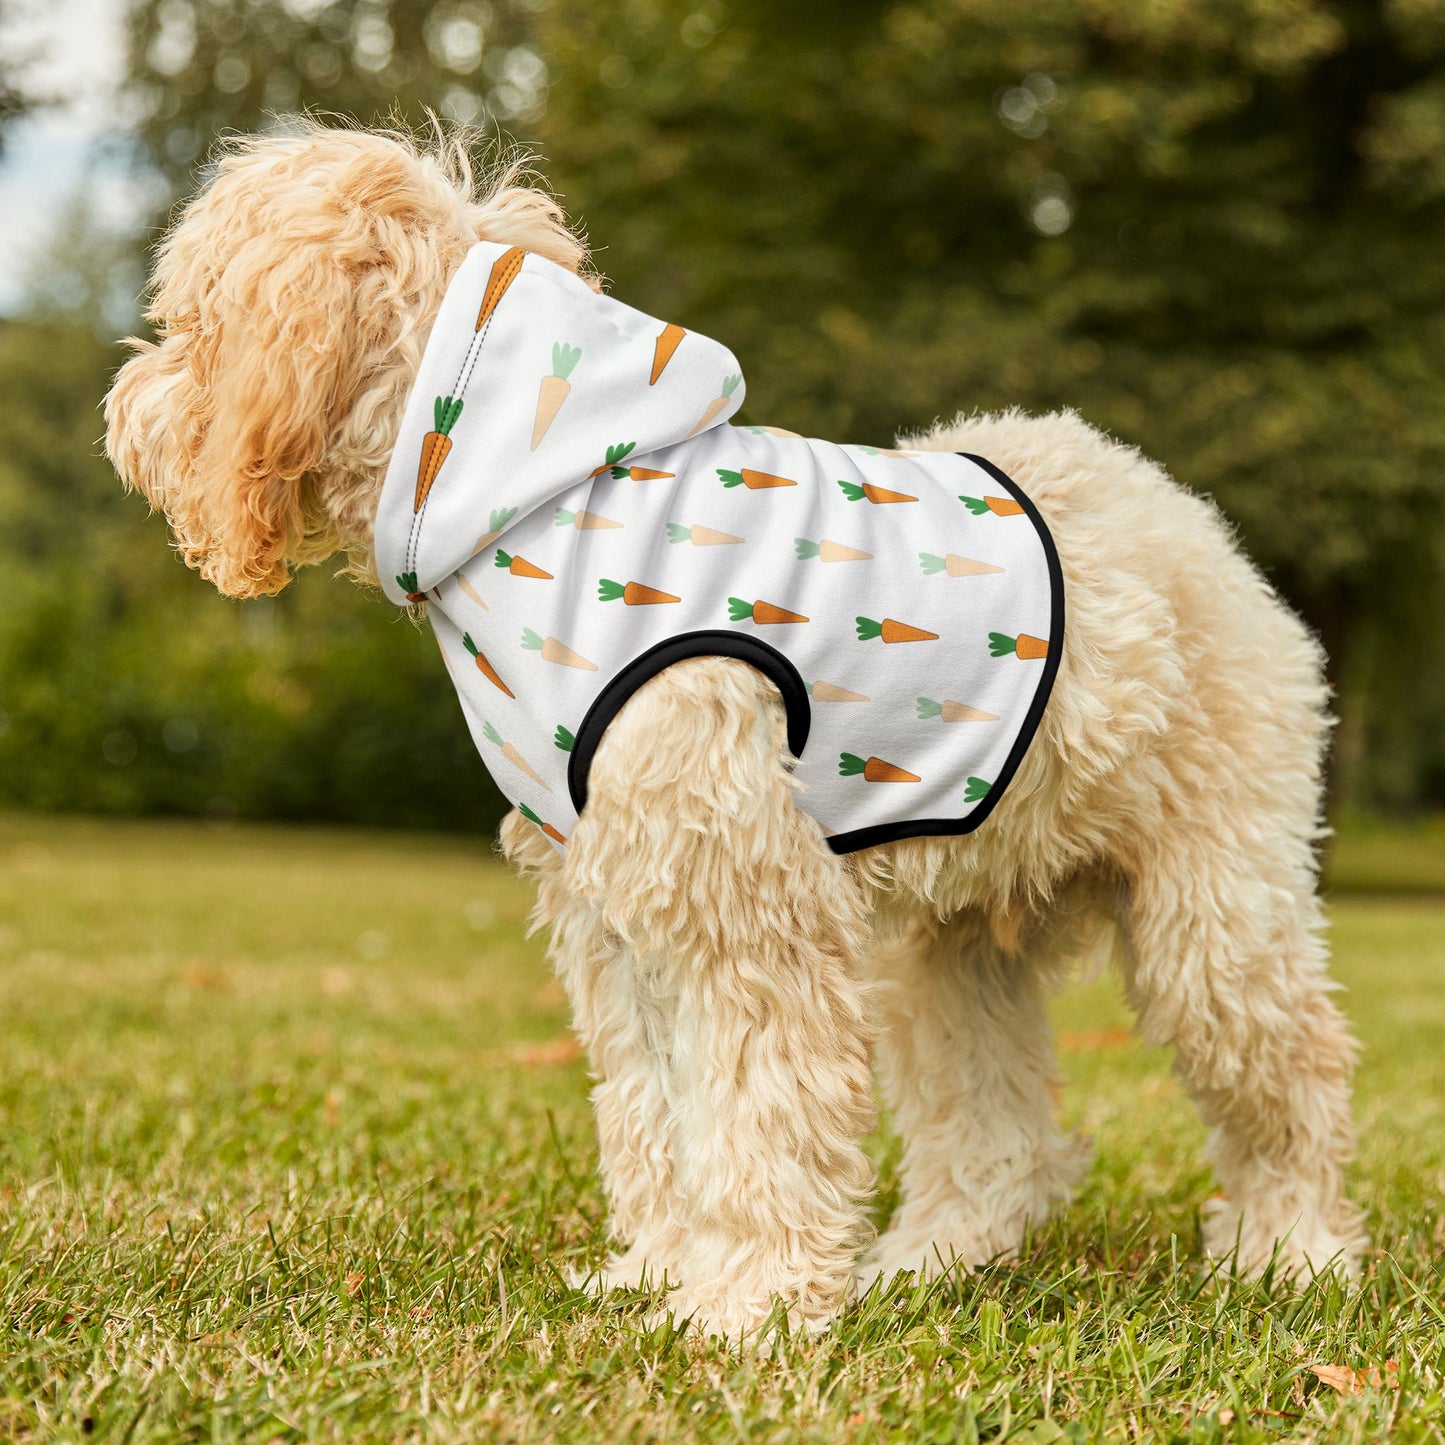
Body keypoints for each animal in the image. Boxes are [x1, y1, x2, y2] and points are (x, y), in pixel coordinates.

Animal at [104, 124, 1364, 1340]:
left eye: (190, 318)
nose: (123, 408)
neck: (534, 488)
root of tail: (1185, 517)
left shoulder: (743, 902)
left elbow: (759, 1111)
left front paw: (747, 1305)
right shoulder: (615, 909)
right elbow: (656, 1110)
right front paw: (661, 1273)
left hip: (1212, 913)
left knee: (1292, 1074)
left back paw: (1290, 1252)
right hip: (949, 948)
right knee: (995, 1133)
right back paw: (928, 1261)